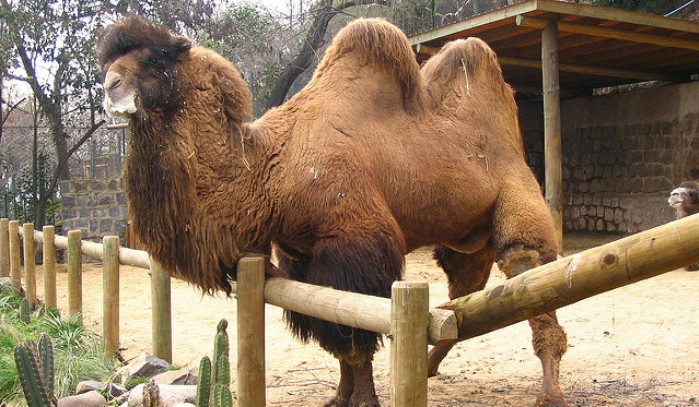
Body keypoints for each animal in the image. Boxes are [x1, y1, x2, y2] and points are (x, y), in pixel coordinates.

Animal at [98, 16, 568, 407]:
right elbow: (335, 329)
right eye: (112, 62)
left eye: (155, 58)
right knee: (463, 296)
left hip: (519, 200)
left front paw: (364, 400)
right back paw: (430, 366)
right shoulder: (301, 254)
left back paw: (550, 393)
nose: (109, 87)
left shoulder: (355, 240)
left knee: (531, 273)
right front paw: (340, 397)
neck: (271, 167)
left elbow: (355, 335)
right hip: (466, 240)